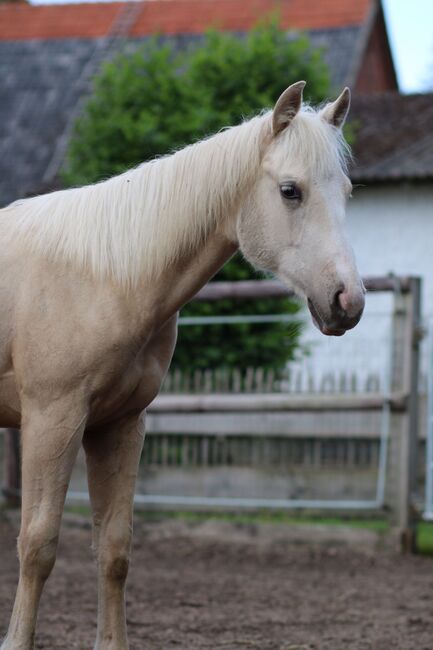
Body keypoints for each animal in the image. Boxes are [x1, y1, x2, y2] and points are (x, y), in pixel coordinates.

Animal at [1, 82, 362, 648]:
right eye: (290, 191)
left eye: (346, 191)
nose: (348, 301)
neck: (104, 275)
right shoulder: (51, 420)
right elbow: (37, 545)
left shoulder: (118, 425)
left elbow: (114, 549)